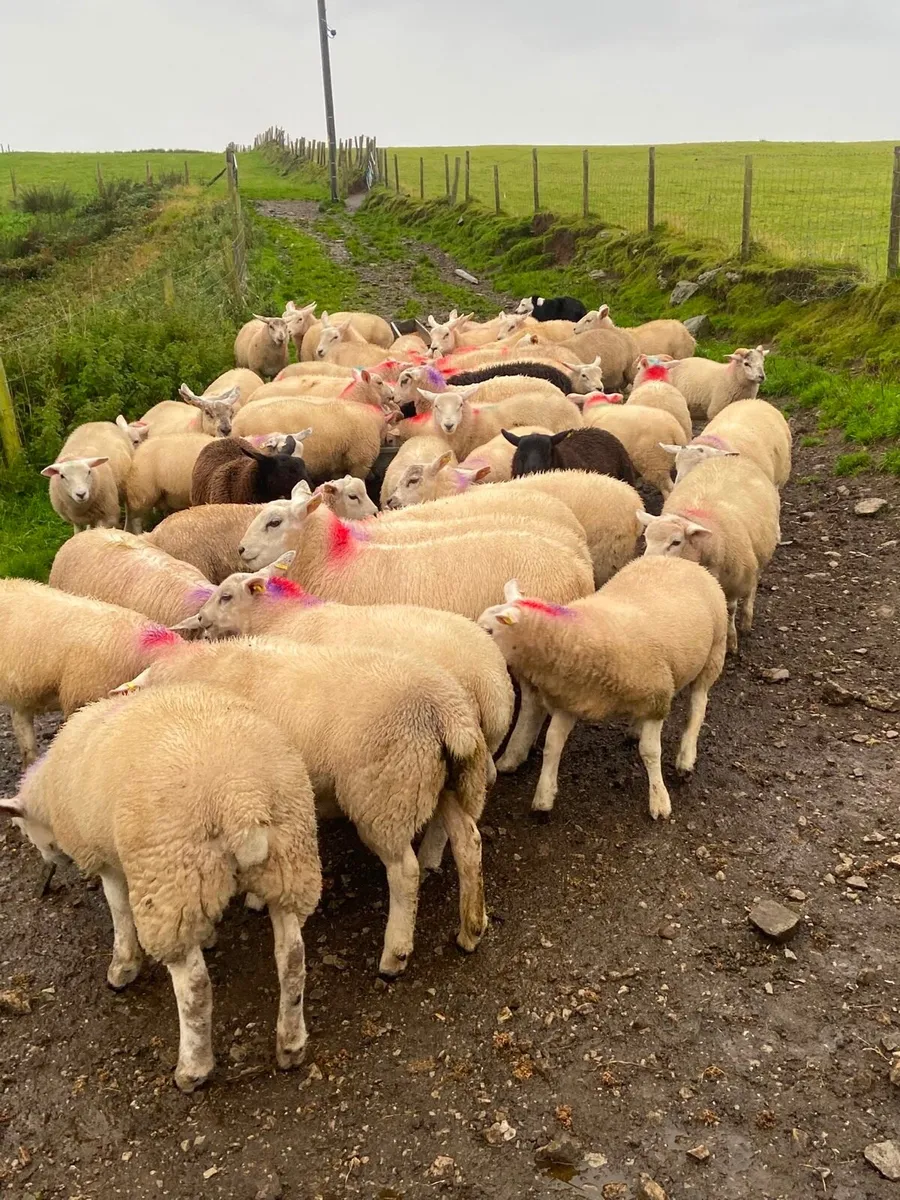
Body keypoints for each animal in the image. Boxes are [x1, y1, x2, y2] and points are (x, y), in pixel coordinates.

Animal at [2, 682, 321, 1091]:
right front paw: (210, 936)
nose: (49, 872)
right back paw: (291, 1044)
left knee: (196, 987)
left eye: (27, 832)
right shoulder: (195, 891)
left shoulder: (109, 860)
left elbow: (119, 910)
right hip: (287, 866)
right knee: (292, 958)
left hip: (171, 878)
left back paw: (193, 1068)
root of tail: (241, 798)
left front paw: (122, 968)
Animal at [117, 639, 490, 977]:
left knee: (404, 872)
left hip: (384, 793)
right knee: (468, 841)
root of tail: (447, 712)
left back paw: (395, 955)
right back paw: (471, 929)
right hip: (442, 782)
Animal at [477, 558, 727, 819]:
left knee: (698, 706)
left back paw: (686, 758)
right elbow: (552, 745)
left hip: (714, 653)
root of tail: (683, 561)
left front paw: (659, 801)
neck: (570, 634)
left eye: (489, 630)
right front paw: (544, 797)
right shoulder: (570, 700)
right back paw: (636, 728)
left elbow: (650, 751)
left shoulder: (655, 697)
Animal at [639, 455, 781, 651]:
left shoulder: (734, 584)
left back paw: (746, 620)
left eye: (676, 542)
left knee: (752, 586)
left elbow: (730, 609)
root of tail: (732, 457)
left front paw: (731, 642)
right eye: (646, 539)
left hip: (757, 560)